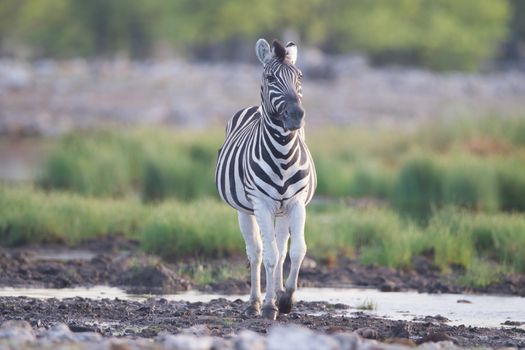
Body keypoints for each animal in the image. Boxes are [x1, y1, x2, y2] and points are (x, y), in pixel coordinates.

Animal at [214, 39, 316, 320]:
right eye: (270, 78)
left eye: (300, 76)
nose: (296, 115)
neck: (283, 154)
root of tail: (253, 106)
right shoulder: (261, 203)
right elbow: (269, 256)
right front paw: (271, 305)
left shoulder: (296, 203)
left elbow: (297, 250)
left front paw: (286, 299)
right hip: (245, 210)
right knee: (257, 252)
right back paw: (256, 302)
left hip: (282, 211)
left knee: (281, 249)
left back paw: (277, 292)